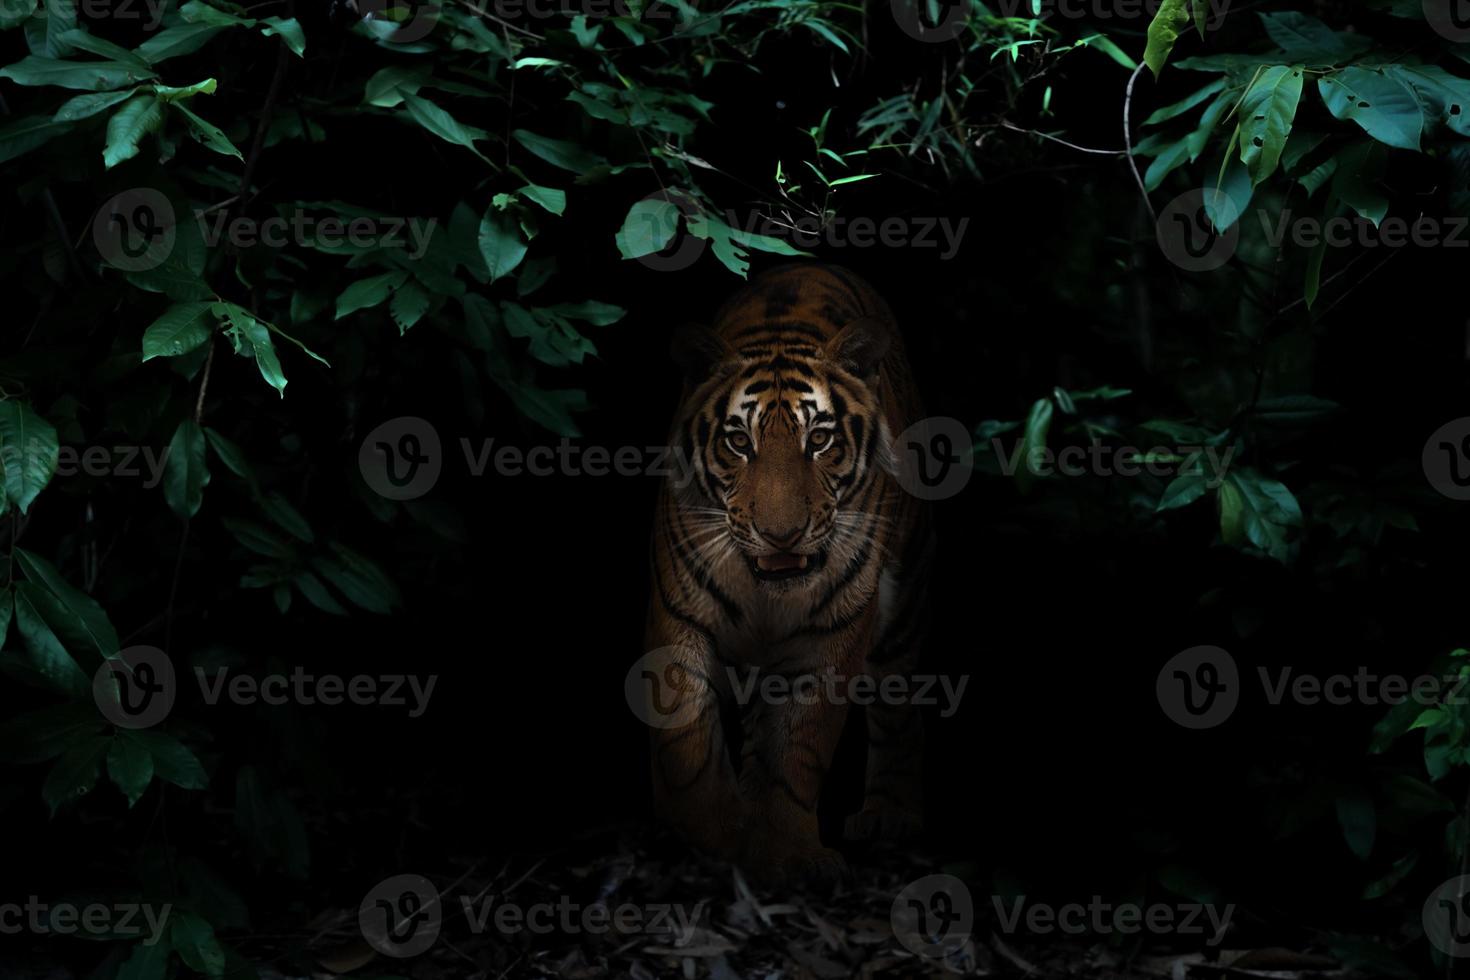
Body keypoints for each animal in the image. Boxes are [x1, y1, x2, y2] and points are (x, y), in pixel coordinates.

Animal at [640, 264, 929, 887]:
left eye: (818, 439)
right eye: (738, 442)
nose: (781, 536)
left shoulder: (832, 636)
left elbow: (798, 748)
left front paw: (791, 854)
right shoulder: (677, 619)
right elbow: (687, 745)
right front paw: (715, 838)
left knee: (899, 705)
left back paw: (890, 815)